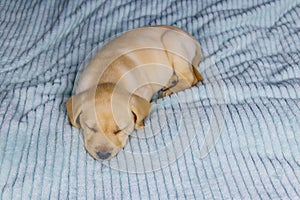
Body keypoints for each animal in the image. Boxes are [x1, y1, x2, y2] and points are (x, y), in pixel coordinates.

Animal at [65, 25, 202, 159]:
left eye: (119, 130)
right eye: (91, 128)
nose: (103, 155)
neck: (107, 78)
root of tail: (191, 38)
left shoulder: (145, 90)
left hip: (172, 45)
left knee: (190, 78)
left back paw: (172, 89)